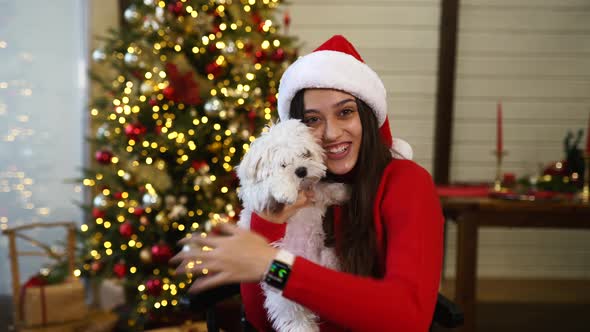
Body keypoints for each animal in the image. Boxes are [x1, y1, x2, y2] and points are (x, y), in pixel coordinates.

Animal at [237, 119, 350, 332]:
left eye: (305, 154)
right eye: (283, 164)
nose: (301, 170)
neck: (301, 190)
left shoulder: (316, 192)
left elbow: (324, 189)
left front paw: (343, 191)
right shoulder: (258, 197)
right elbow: (268, 186)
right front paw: (285, 190)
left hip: (328, 258)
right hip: (284, 299)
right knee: (295, 319)